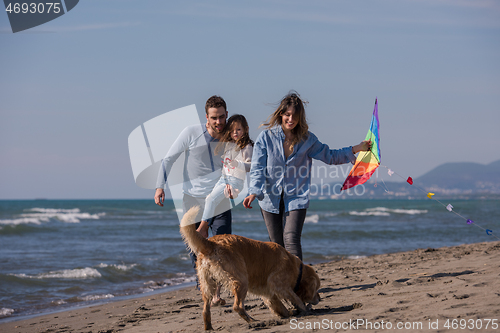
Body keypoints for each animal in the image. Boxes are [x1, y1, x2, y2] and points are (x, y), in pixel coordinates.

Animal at [180, 206, 320, 328]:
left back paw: (209, 327)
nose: (319, 298)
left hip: (207, 284)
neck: (297, 270)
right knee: (237, 306)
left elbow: (278, 305)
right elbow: (296, 298)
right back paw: (251, 320)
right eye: (317, 289)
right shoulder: (280, 285)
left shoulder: (268, 293)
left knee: (205, 310)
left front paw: (289, 313)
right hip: (241, 280)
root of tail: (211, 243)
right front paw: (304, 309)